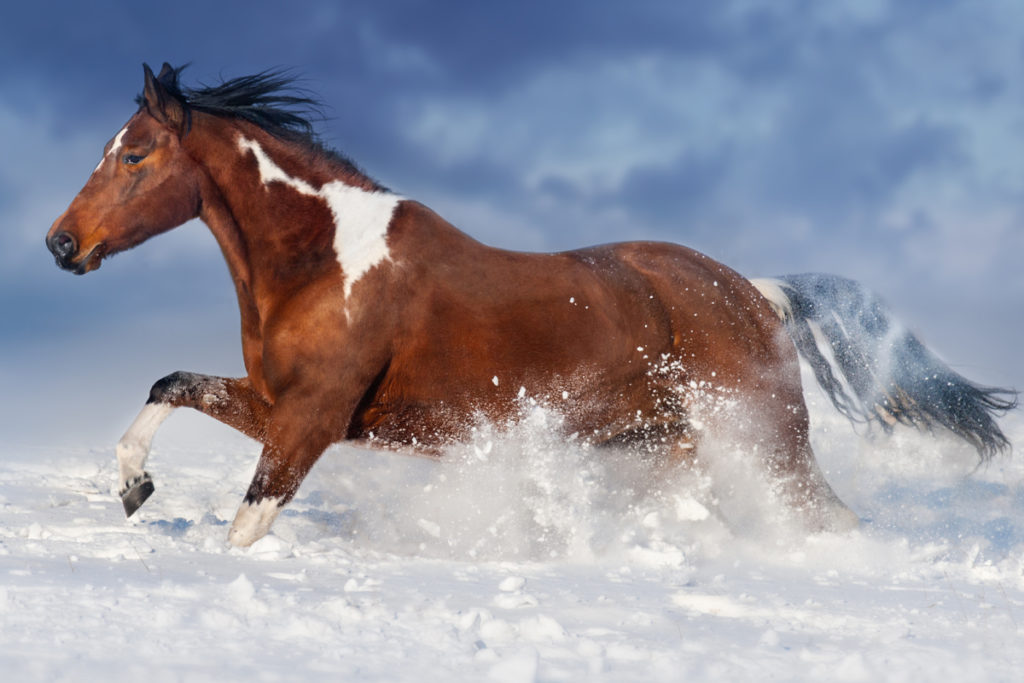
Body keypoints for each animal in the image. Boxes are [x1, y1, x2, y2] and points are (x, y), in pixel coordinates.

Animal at [46, 64, 1016, 547]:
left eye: (133, 155)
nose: (61, 244)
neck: (325, 263)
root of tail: (759, 292)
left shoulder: (313, 418)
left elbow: (245, 527)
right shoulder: (282, 403)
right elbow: (168, 383)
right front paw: (132, 488)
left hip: (769, 438)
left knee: (830, 515)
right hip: (669, 445)